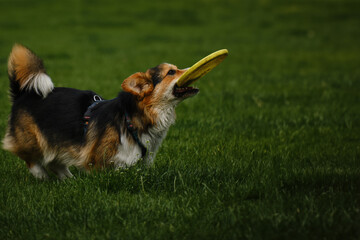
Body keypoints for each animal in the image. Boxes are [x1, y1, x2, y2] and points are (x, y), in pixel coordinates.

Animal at [2, 44, 198, 180]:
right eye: (171, 72)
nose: (193, 69)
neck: (132, 118)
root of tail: (22, 94)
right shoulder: (98, 158)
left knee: (55, 162)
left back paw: (69, 180)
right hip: (34, 140)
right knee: (31, 158)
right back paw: (42, 176)